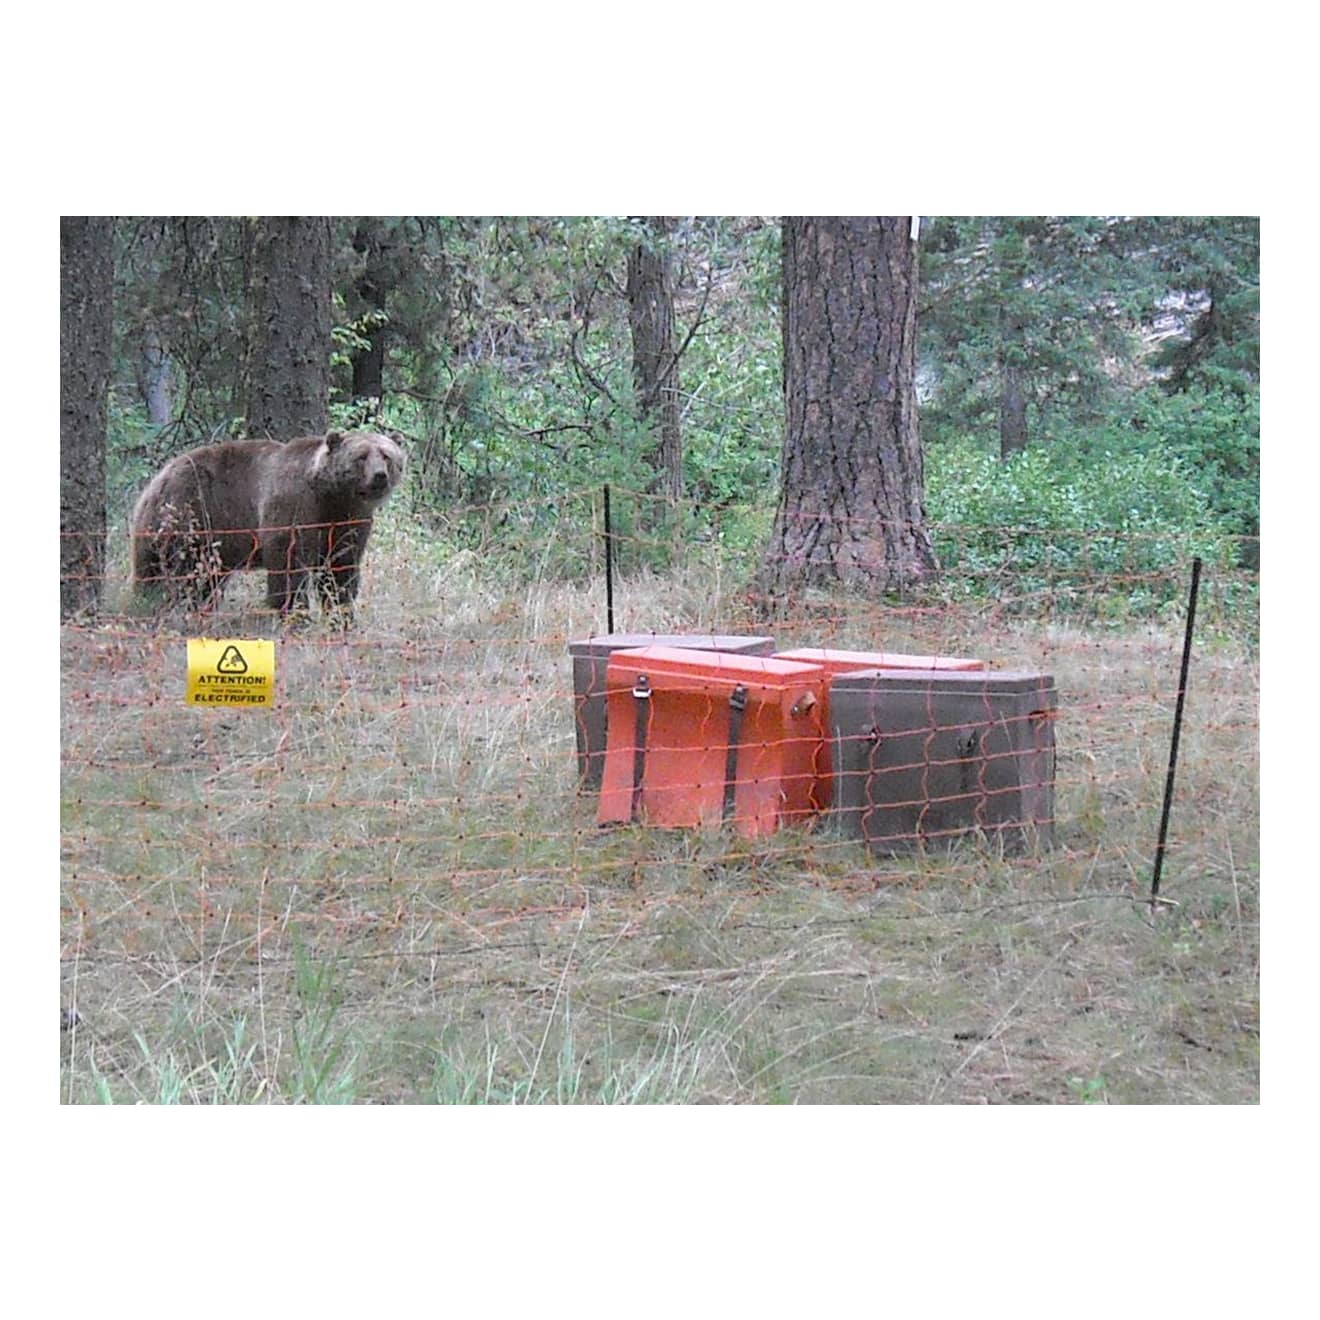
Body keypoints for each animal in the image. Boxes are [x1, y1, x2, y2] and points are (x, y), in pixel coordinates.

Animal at [130, 429, 405, 618]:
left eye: (386, 455)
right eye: (361, 457)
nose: (380, 476)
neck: (332, 496)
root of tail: (158, 478)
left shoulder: (349, 521)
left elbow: (341, 566)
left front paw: (341, 613)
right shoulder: (295, 506)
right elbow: (289, 562)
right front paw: (294, 611)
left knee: (204, 578)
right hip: (190, 513)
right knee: (178, 572)